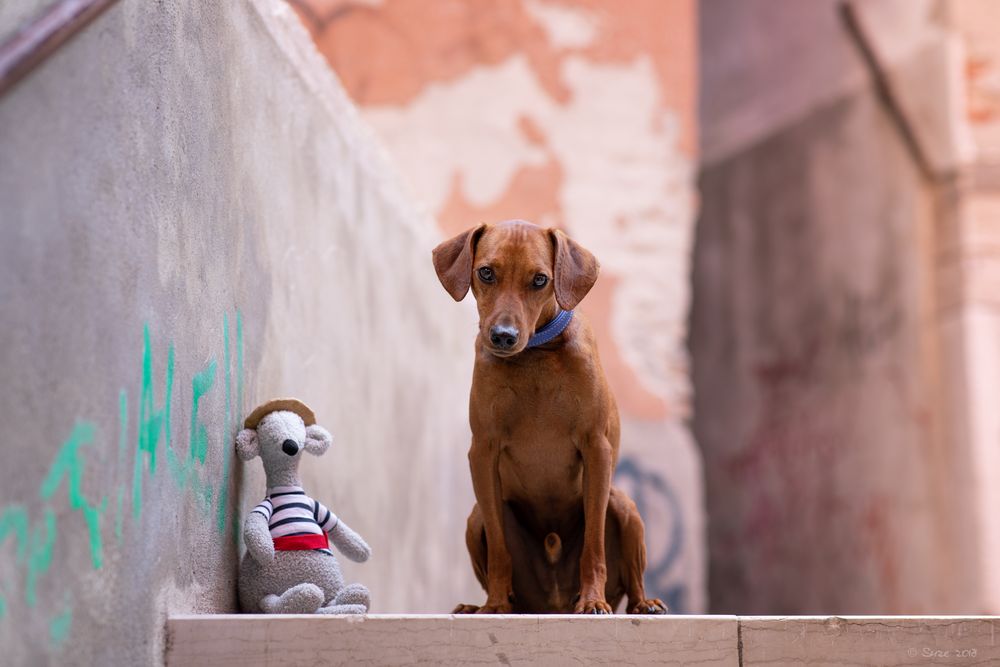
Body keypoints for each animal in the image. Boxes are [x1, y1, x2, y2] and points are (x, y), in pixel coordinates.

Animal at [434, 220, 668, 616]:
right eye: (486, 272)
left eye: (540, 279)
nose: (503, 336)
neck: (535, 353)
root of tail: (552, 604)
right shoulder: (482, 453)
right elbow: (499, 549)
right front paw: (495, 604)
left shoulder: (596, 449)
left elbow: (593, 545)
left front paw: (592, 600)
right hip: (475, 519)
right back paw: (481, 605)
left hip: (624, 505)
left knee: (632, 577)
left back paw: (644, 603)